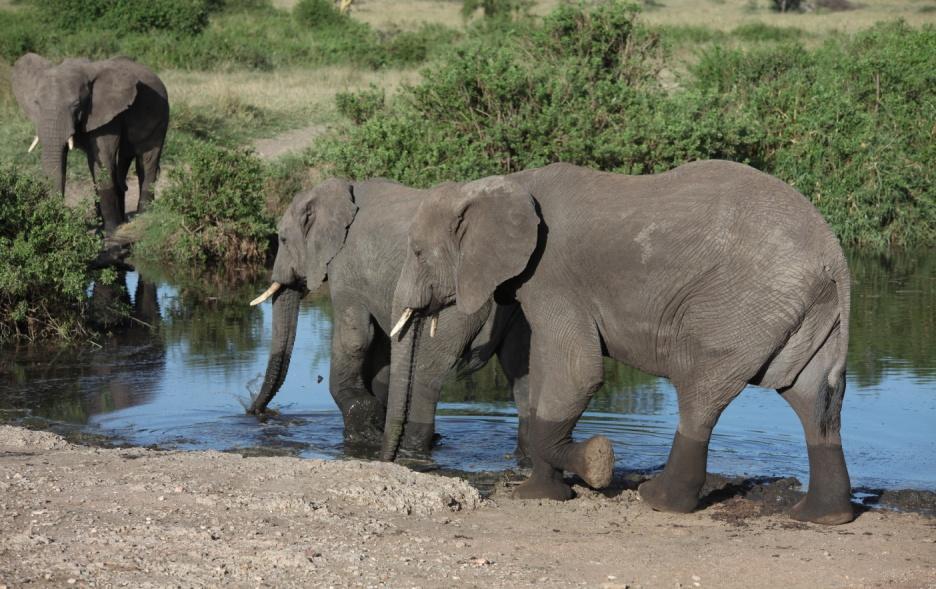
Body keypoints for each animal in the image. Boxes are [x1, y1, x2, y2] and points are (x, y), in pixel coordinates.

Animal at [11, 51, 169, 233]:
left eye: (76, 105)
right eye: (36, 103)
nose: (57, 219)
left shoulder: (106, 115)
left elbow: (103, 163)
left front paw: (110, 232)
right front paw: (104, 229)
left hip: (161, 116)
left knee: (147, 161)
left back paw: (142, 217)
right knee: (124, 160)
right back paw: (121, 219)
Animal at [245, 179, 532, 454]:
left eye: (282, 240)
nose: (254, 411)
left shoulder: (345, 268)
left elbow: (356, 339)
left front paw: (364, 428)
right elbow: (381, 351)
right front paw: (371, 428)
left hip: (460, 304)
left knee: (429, 369)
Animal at [384, 161, 852, 524]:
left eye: (418, 252)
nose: (391, 461)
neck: (503, 184)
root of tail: (834, 257)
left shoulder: (552, 276)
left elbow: (577, 372)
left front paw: (596, 464)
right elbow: (543, 374)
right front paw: (541, 493)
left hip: (742, 307)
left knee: (701, 390)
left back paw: (659, 500)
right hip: (808, 312)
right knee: (814, 400)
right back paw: (822, 515)